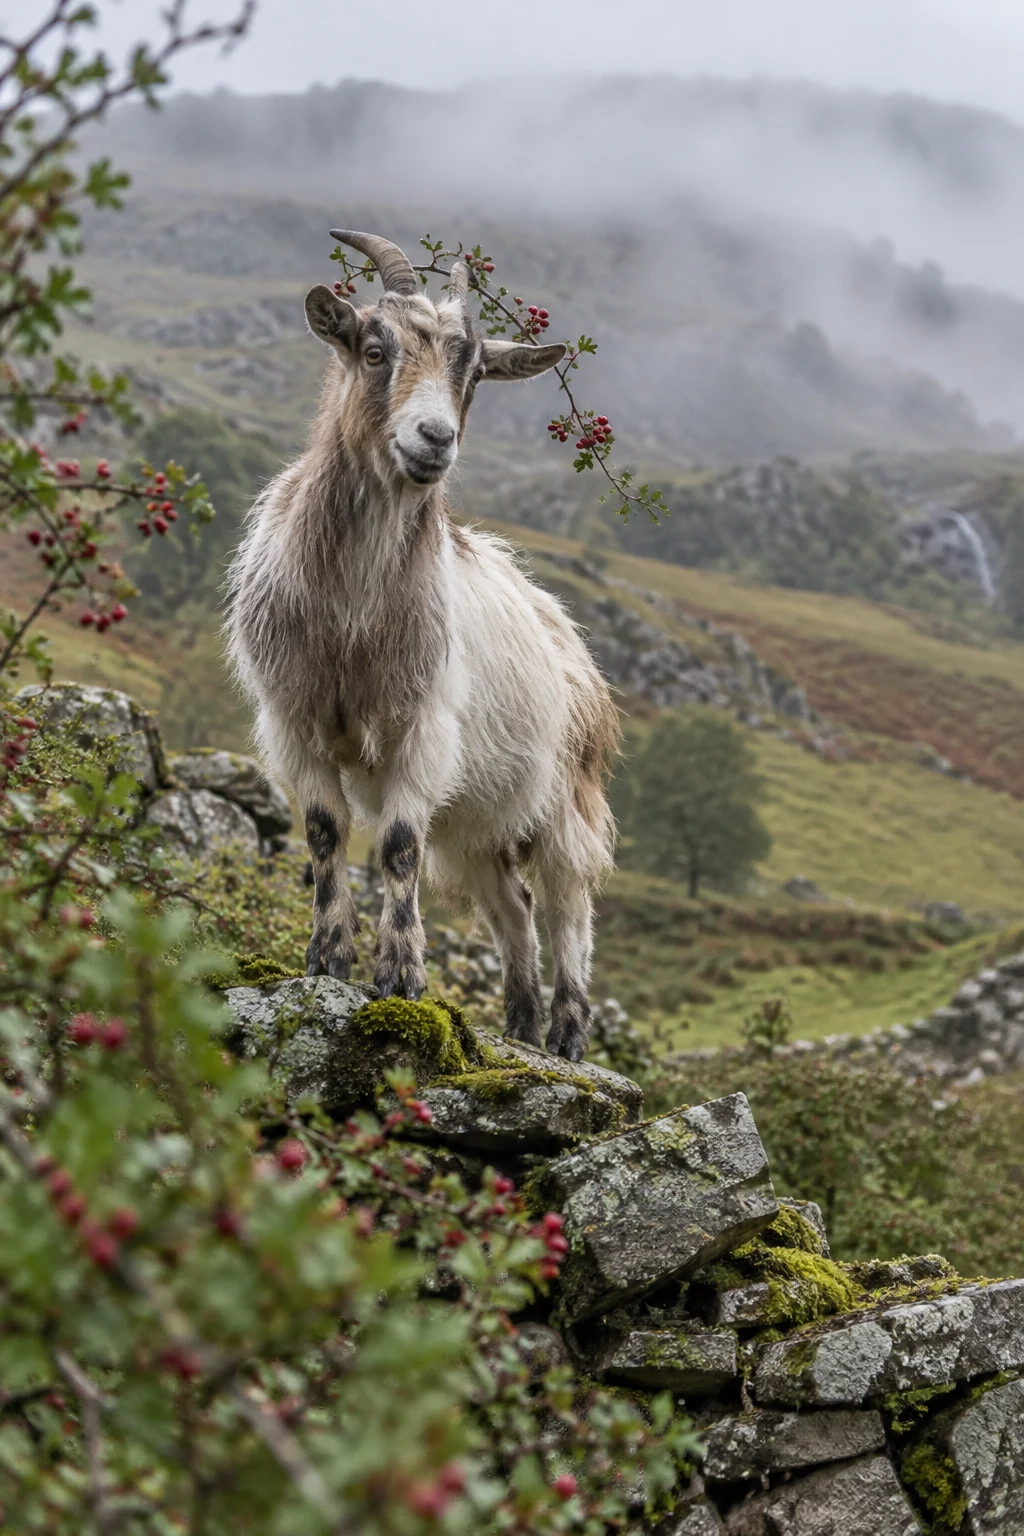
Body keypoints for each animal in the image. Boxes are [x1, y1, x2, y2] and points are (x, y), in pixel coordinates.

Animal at [226, 230, 619, 1060]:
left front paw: (400, 980)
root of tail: (571, 641)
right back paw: (519, 1026)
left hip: (570, 796)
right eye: (375, 349)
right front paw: (327, 962)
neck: (352, 617)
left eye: (473, 375)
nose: (434, 439)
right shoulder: (294, 721)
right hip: (479, 822)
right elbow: (325, 833)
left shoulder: (422, 728)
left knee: (568, 904)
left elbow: (399, 845)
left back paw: (566, 1036)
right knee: (513, 906)